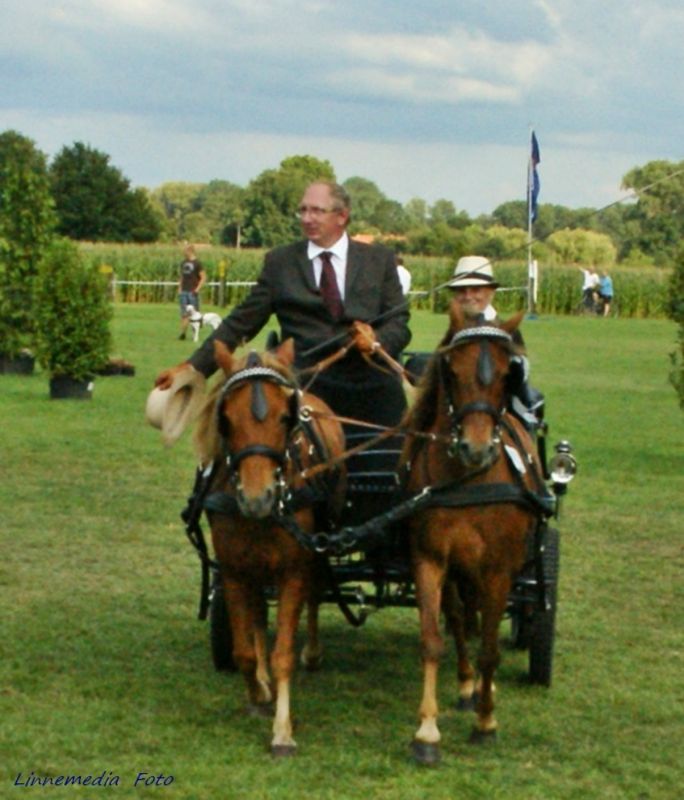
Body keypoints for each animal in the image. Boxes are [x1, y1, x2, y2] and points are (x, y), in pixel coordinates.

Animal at [194, 338, 346, 756]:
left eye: (284, 418)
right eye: (226, 419)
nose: (257, 498)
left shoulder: (293, 568)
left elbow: (284, 654)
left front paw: (282, 730)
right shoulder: (234, 570)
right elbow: (245, 649)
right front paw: (259, 692)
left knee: (314, 595)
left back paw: (312, 652)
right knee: (260, 617)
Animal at [401, 302, 548, 764]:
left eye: (507, 372)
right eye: (452, 369)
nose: (476, 448)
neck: (468, 479)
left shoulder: (499, 567)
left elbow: (489, 647)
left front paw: (486, 722)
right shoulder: (429, 559)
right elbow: (434, 640)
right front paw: (426, 732)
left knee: (481, 623)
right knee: (459, 617)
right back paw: (467, 686)